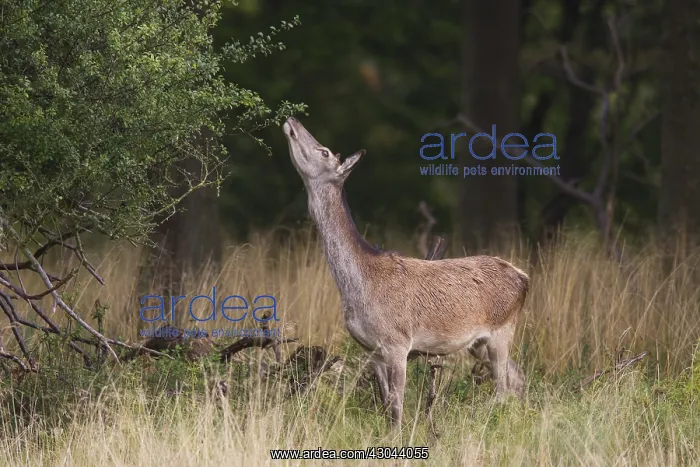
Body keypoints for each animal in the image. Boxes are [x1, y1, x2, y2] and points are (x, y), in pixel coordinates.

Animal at [282, 117, 528, 429]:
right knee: (517, 377)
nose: (292, 120)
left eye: (324, 151)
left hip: (503, 329)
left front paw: (399, 434)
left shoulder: (397, 341)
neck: (360, 284)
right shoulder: (371, 350)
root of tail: (524, 278)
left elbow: (398, 404)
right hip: (480, 342)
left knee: (503, 388)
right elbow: (386, 403)